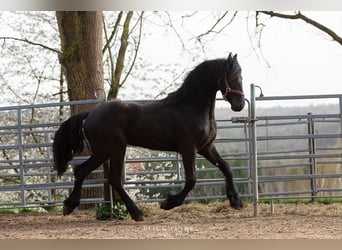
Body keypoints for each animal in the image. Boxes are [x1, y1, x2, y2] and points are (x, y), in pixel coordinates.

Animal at [52, 53, 246, 221]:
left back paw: (69, 205)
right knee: (112, 179)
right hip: (114, 149)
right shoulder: (188, 148)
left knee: (82, 171)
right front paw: (168, 203)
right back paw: (136, 213)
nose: (240, 105)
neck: (191, 107)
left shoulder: (206, 147)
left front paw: (236, 201)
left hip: (104, 152)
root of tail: (90, 114)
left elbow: (226, 167)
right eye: (233, 75)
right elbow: (191, 180)